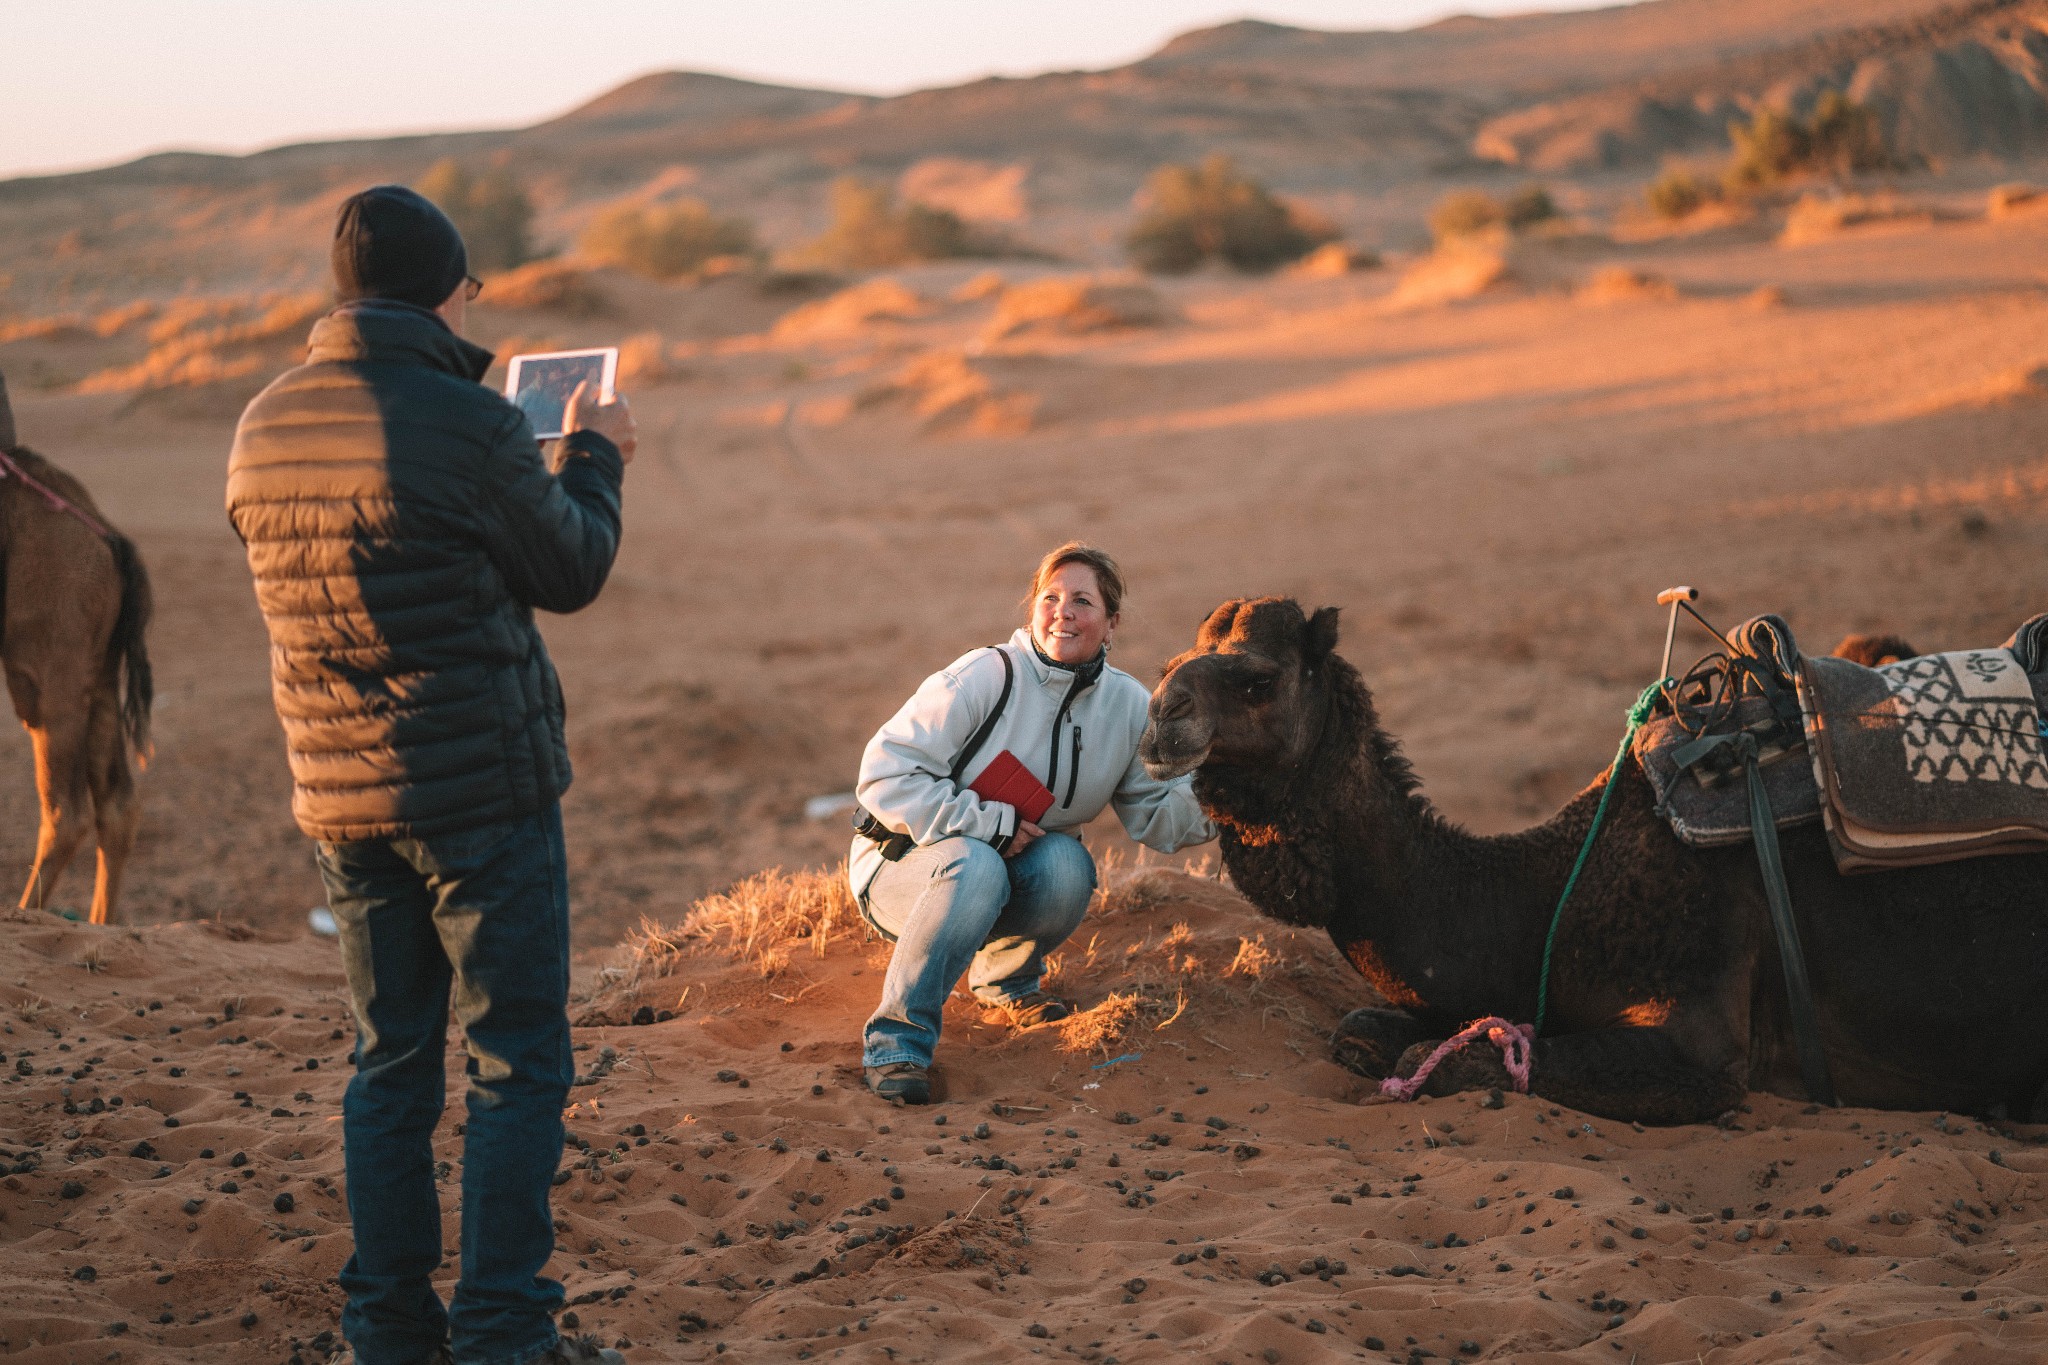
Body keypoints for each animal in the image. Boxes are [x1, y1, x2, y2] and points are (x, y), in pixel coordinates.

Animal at [0, 374, 152, 929]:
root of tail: (107, 535)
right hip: (98, 671)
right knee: (117, 804)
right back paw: (98, 924)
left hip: (52, 669)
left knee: (67, 810)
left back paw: (25, 912)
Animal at [1146, 601, 2048, 1129]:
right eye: (1167, 664)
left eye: (1258, 678)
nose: (1159, 715)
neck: (1540, 897)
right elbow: (1366, 1031)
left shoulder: (1703, 1039)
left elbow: (1440, 1060)